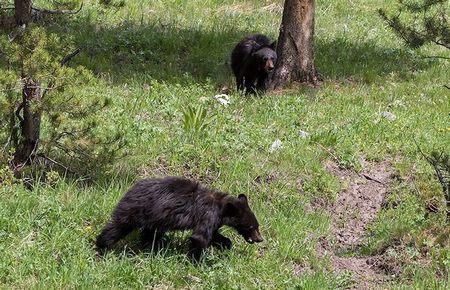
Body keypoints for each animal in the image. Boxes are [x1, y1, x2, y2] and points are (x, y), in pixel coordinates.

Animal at [96, 176, 264, 260]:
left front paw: (226, 244)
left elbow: (213, 235)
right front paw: (197, 261)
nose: (260, 239)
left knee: (150, 233)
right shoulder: (208, 214)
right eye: (251, 227)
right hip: (135, 210)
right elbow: (200, 237)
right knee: (118, 227)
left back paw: (152, 248)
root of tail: (130, 189)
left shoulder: (214, 220)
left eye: (257, 226)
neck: (221, 207)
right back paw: (101, 247)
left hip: (154, 218)